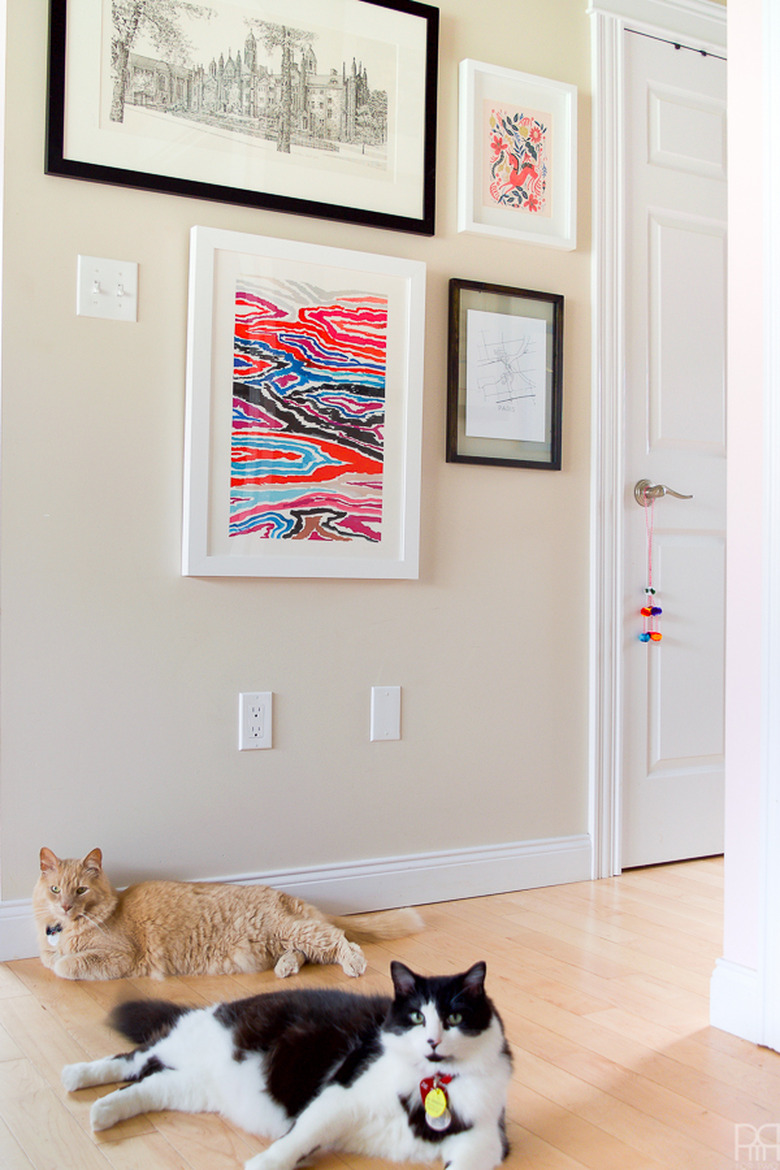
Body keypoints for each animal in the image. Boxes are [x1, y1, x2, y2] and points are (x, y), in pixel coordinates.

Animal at [33, 847, 423, 982]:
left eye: (80, 890)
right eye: (55, 890)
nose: (65, 905)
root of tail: (286, 895)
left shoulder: (121, 957)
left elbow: (66, 965)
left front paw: (62, 961)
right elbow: (53, 960)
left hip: (289, 929)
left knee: (340, 941)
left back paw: (353, 965)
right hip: (283, 936)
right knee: (308, 952)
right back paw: (285, 968)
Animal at [61, 959, 512, 1170]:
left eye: (454, 1018)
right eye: (417, 1017)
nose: (433, 1042)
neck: (428, 1085)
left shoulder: (485, 1140)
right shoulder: (340, 1096)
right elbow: (296, 1140)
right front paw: (263, 1163)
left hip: (193, 1088)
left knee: (143, 1086)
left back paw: (104, 1112)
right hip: (188, 1045)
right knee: (132, 1058)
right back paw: (76, 1076)